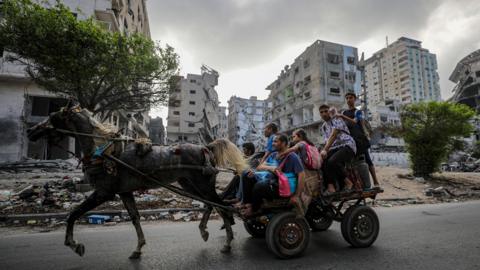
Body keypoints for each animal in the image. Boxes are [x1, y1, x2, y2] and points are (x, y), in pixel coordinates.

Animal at [25, 102, 248, 260]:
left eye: (53, 116)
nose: (30, 131)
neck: (103, 151)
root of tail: (206, 148)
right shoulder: (125, 192)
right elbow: (135, 218)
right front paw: (138, 248)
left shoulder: (104, 193)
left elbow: (73, 214)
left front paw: (74, 244)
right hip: (189, 184)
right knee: (211, 205)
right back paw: (204, 231)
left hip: (202, 184)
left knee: (221, 206)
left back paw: (227, 243)